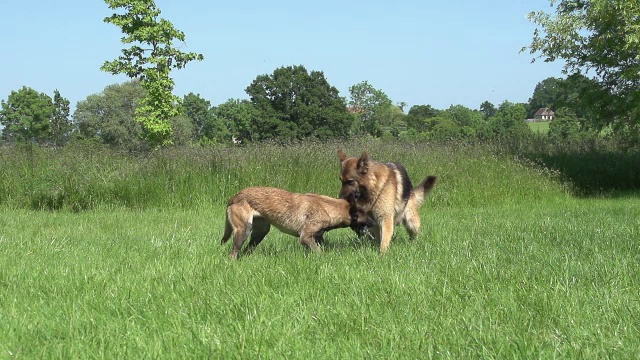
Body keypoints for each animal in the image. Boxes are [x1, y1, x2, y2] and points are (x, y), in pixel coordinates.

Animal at [221, 186, 376, 258]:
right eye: (366, 217)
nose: (374, 223)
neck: (328, 207)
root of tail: (235, 197)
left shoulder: (317, 237)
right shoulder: (305, 237)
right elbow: (319, 252)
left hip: (260, 233)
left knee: (247, 250)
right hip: (244, 230)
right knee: (233, 254)